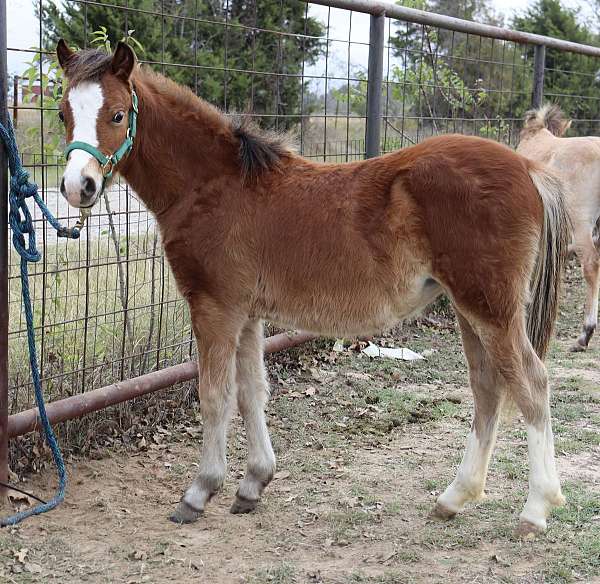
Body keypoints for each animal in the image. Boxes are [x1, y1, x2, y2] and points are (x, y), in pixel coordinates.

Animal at [55, 38, 568, 536]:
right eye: (63, 112)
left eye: (117, 114)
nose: (78, 187)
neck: (213, 186)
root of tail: (527, 168)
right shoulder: (247, 313)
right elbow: (252, 391)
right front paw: (253, 483)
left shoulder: (214, 308)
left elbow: (215, 396)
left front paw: (199, 492)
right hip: (469, 308)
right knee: (488, 388)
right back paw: (454, 497)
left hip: (491, 308)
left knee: (532, 384)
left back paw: (535, 509)